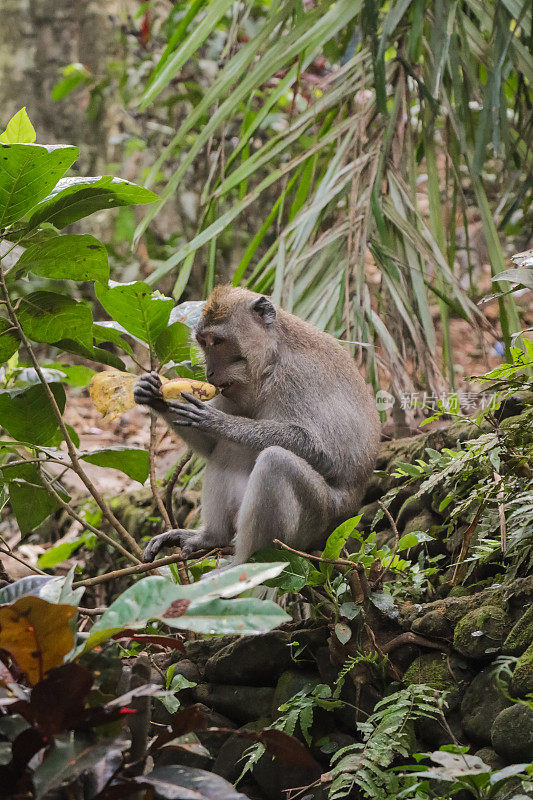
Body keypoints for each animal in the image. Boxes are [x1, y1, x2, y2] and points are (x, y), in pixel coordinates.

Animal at [135, 284, 380, 564]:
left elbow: (327, 455)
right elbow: (211, 445)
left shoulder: (297, 376)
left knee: (276, 462)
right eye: (204, 343)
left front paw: (219, 421)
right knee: (228, 449)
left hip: (320, 520)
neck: (270, 361)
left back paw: (244, 565)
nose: (209, 372)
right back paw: (212, 537)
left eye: (218, 342)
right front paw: (153, 395)